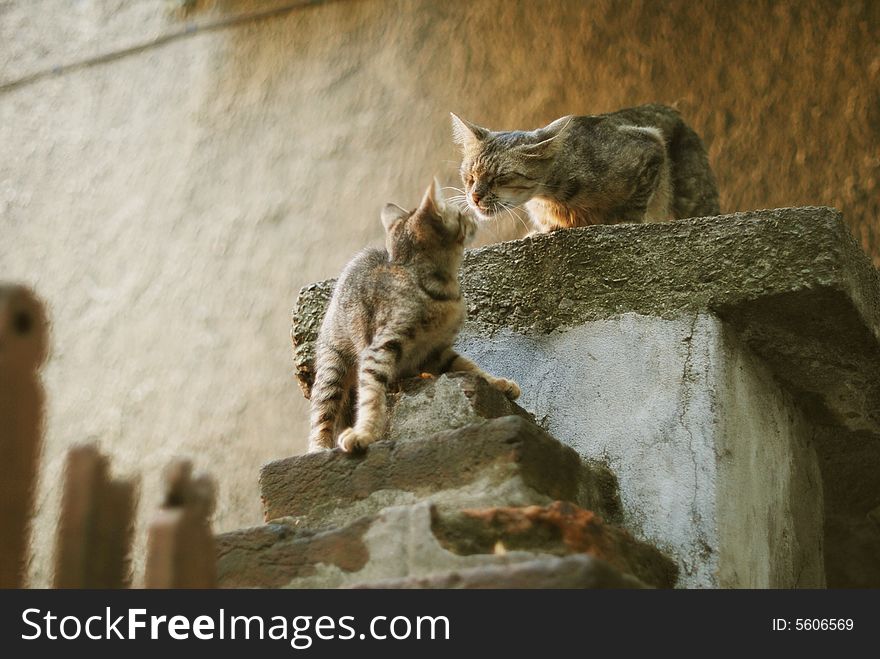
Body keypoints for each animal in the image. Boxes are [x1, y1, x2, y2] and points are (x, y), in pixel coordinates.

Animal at [308, 179, 520, 454]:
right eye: (460, 215)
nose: (473, 217)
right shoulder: (381, 348)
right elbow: (371, 396)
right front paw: (364, 433)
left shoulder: (436, 351)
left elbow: (469, 366)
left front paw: (498, 382)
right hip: (333, 363)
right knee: (322, 411)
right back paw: (318, 449)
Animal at [450, 104, 720, 233]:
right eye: (469, 176)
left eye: (501, 177)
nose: (474, 197)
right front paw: (542, 231)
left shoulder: (650, 144)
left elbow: (635, 204)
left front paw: (626, 221)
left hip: (692, 193)